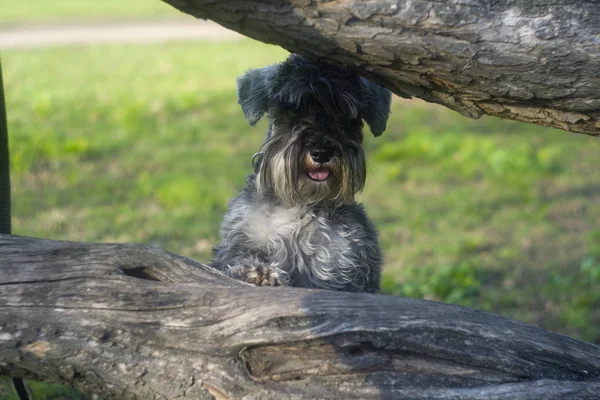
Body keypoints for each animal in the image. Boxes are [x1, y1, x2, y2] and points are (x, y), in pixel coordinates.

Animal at [212, 54, 394, 294]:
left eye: (346, 116)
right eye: (293, 110)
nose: (321, 152)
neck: (301, 204)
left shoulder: (347, 266)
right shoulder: (237, 242)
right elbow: (233, 262)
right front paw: (258, 272)